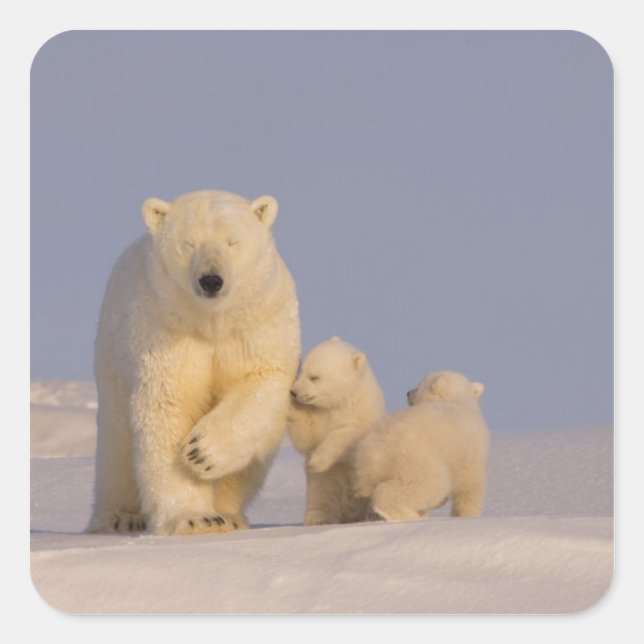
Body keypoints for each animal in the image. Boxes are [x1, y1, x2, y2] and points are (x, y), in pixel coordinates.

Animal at [87, 189, 301, 536]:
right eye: (188, 244)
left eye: (232, 242)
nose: (211, 280)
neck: (211, 323)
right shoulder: (165, 328)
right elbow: (170, 406)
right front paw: (195, 518)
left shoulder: (258, 322)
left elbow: (262, 380)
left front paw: (201, 452)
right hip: (112, 359)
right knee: (116, 447)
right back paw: (118, 517)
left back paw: (230, 515)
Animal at [286, 337, 386, 525]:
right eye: (302, 371)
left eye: (314, 377)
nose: (293, 392)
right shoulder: (318, 415)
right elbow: (306, 436)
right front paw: (289, 406)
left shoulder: (362, 418)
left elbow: (347, 436)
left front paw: (317, 461)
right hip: (322, 486)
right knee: (321, 497)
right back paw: (318, 518)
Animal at [352, 370, 489, 521]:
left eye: (419, 384)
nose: (407, 393)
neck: (456, 399)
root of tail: (374, 452)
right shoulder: (471, 453)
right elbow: (471, 488)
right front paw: (467, 516)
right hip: (416, 461)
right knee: (427, 486)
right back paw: (411, 516)